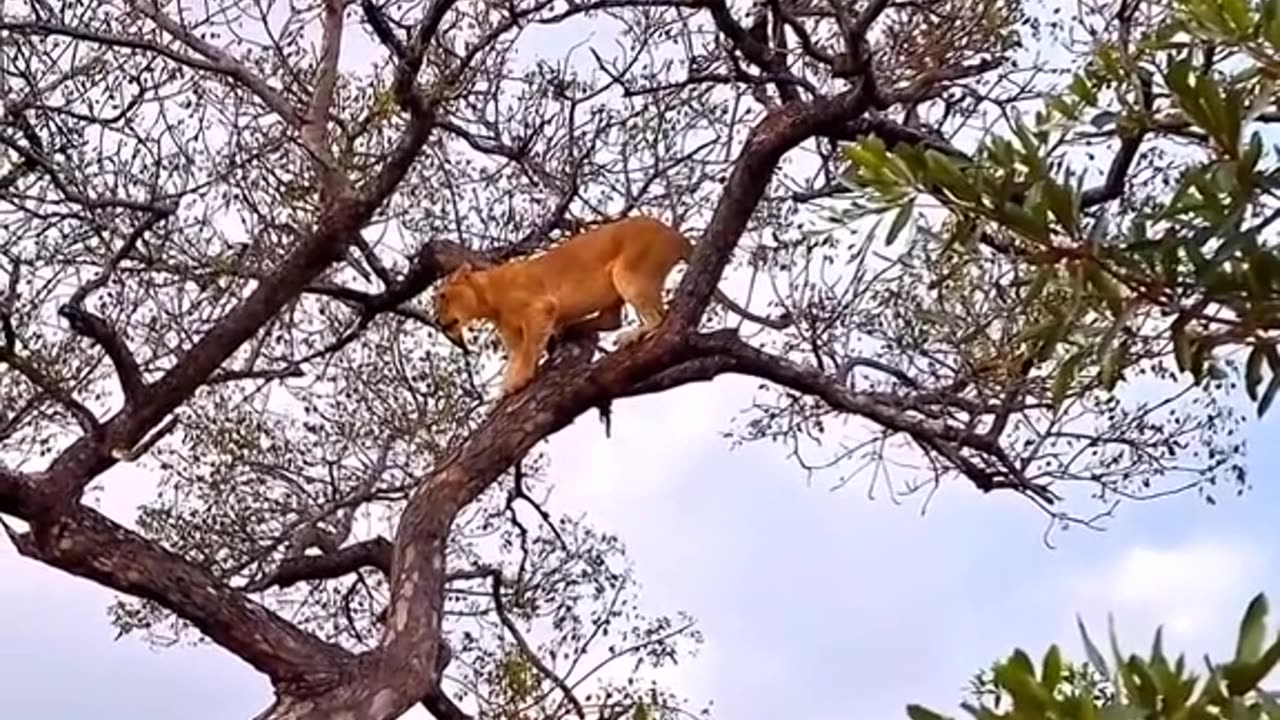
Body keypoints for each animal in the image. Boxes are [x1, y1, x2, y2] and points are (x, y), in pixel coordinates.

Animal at [430, 212, 773, 394]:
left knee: (658, 318)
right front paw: (503, 391)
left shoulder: (539, 308)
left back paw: (629, 336)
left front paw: (518, 382)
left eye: (442, 297)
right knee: (612, 318)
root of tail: (675, 234)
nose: (436, 320)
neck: (487, 297)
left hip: (629, 272)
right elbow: (516, 355)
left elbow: (528, 352)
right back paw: (573, 330)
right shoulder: (513, 335)